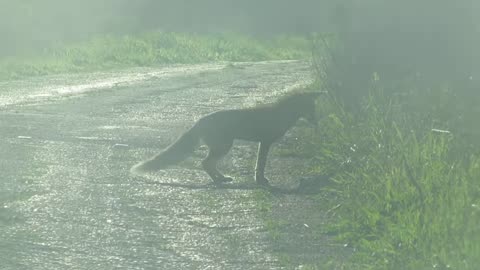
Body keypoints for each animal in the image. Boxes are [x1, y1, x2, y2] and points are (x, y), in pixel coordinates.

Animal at [130, 91, 322, 186]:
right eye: (310, 108)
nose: (316, 120)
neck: (282, 114)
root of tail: (201, 120)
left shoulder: (263, 142)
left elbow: (259, 164)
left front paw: (260, 180)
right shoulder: (266, 142)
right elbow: (260, 165)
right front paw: (261, 181)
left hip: (221, 147)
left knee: (208, 164)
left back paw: (221, 178)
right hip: (224, 146)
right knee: (205, 163)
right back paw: (218, 180)